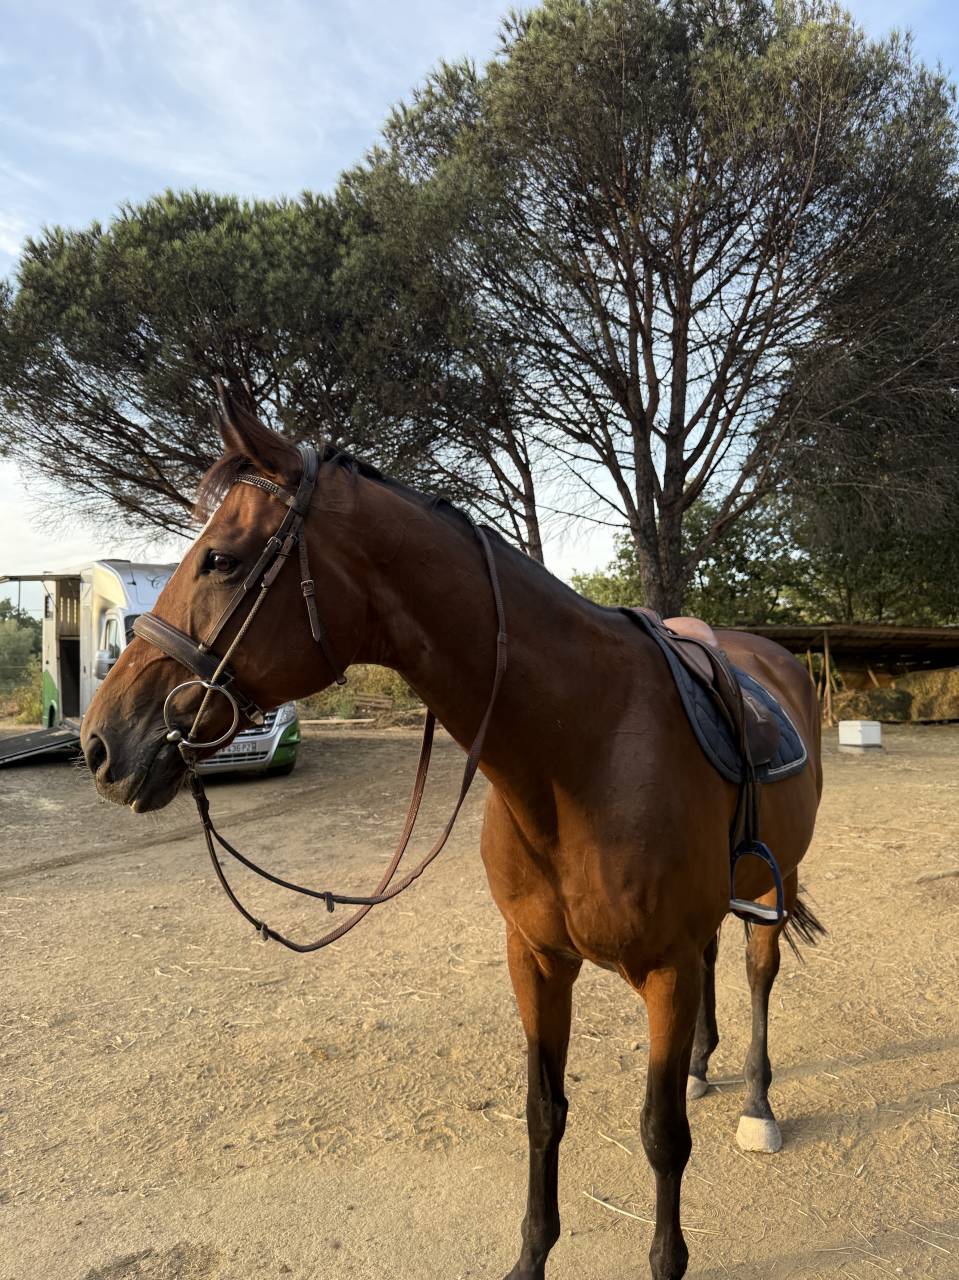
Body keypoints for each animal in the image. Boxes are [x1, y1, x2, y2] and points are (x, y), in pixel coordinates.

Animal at [81, 399, 823, 1280]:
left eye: (222, 560)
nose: (101, 743)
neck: (587, 746)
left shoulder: (663, 971)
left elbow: (659, 1135)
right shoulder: (534, 959)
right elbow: (543, 1111)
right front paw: (530, 1257)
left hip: (773, 888)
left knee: (756, 973)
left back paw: (756, 1102)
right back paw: (705, 1068)